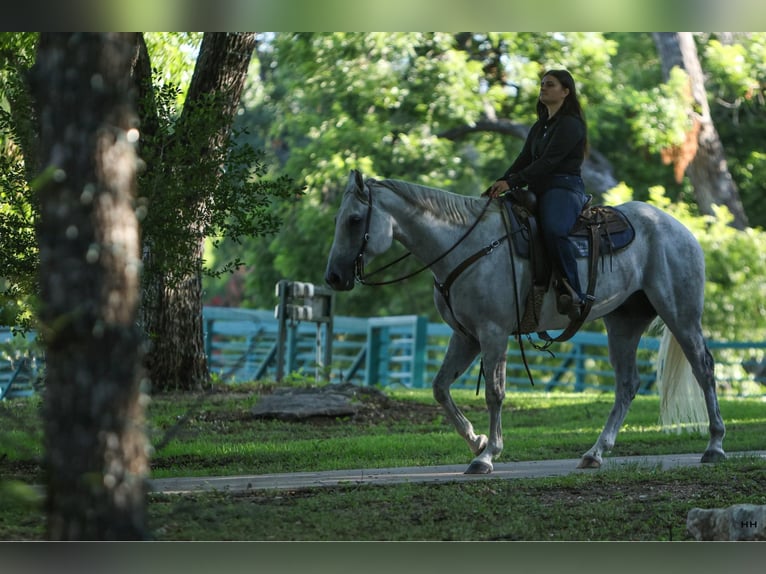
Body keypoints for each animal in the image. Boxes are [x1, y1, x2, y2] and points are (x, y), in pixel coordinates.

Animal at [324, 169, 726, 474]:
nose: (333, 277)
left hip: (680, 314)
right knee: (627, 385)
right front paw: (477, 441)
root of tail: (679, 228)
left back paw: (715, 446)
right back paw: (595, 453)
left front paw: (487, 456)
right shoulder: (465, 336)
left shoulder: (493, 333)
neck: (465, 245)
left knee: (703, 368)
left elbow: (494, 393)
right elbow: (440, 388)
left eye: (355, 220)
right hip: (623, 324)